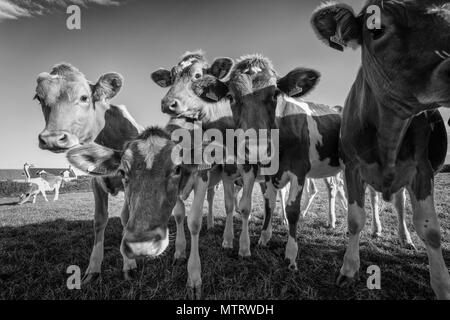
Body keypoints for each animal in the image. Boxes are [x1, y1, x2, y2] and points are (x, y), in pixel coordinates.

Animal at [312, 0, 450, 300]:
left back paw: (404, 237)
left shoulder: (422, 170)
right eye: (376, 29)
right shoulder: (352, 167)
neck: (390, 129)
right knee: (377, 202)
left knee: (399, 205)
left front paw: (441, 283)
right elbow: (355, 219)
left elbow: (430, 230)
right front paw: (349, 269)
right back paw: (376, 229)